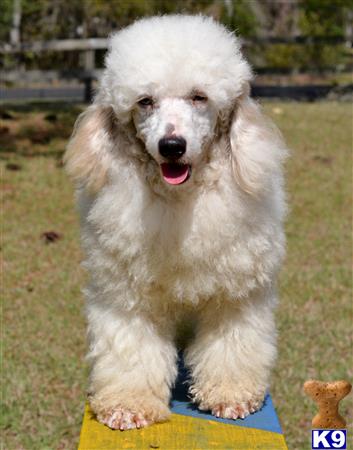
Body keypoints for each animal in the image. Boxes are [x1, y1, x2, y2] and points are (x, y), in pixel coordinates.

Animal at [64, 13, 288, 428]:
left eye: (199, 96)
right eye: (145, 101)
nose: (172, 146)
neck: (181, 200)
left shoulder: (235, 294)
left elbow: (231, 344)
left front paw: (230, 397)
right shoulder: (127, 294)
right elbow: (132, 348)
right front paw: (129, 406)